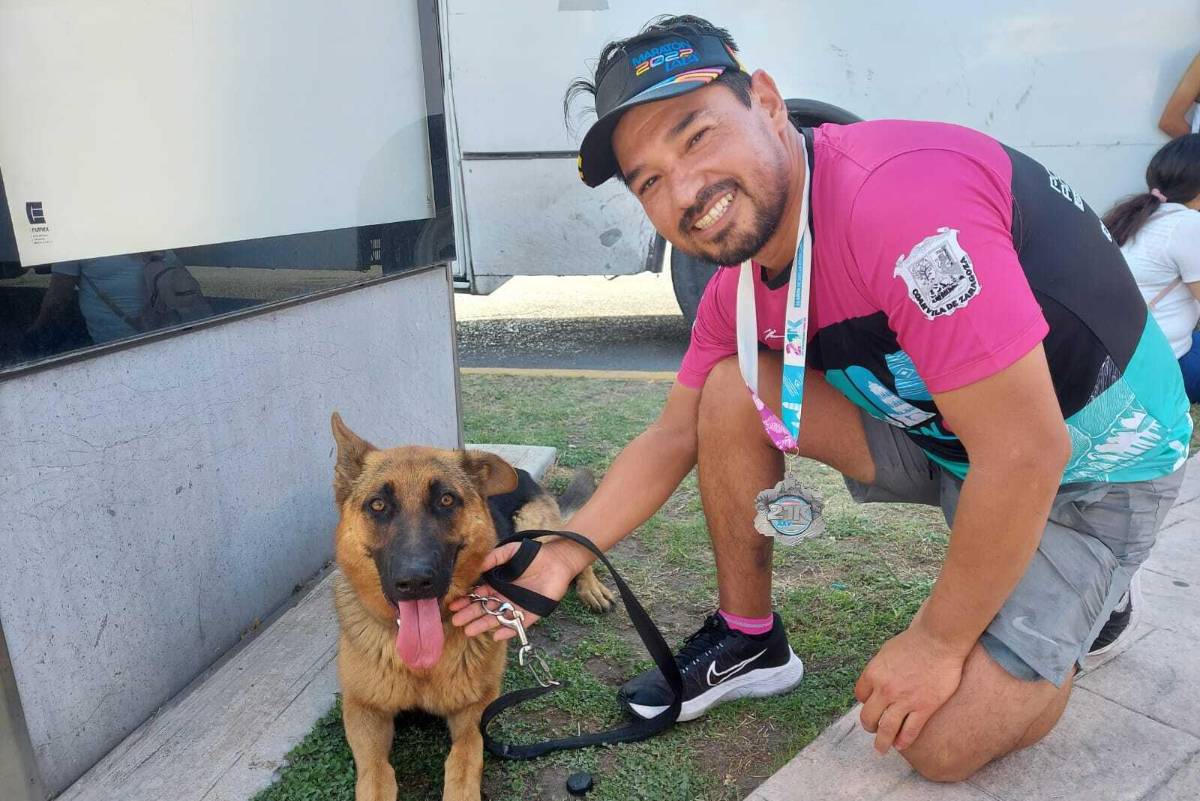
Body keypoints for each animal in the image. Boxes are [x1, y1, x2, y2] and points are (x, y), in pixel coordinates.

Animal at [329, 413, 613, 801]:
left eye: (447, 500)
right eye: (377, 505)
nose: (414, 581)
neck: (424, 666)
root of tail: (522, 472)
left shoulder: (477, 707)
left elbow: (464, 759)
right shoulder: (363, 709)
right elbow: (375, 774)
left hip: (534, 531)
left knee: (573, 545)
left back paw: (591, 587)